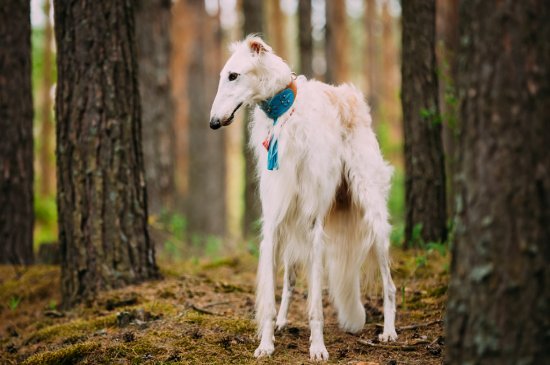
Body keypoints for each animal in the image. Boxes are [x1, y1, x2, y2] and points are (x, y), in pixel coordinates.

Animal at [208, 35, 396, 360]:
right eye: (223, 76)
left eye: (233, 75)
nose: (213, 123)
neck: (283, 115)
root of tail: (350, 96)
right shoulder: (274, 221)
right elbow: (271, 298)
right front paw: (266, 343)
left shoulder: (313, 224)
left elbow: (316, 306)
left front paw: (318, 347)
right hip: (289, 226)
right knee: (289, 280)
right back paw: (283, 321)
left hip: (373, 217)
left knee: (390, 285)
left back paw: (389, 331)